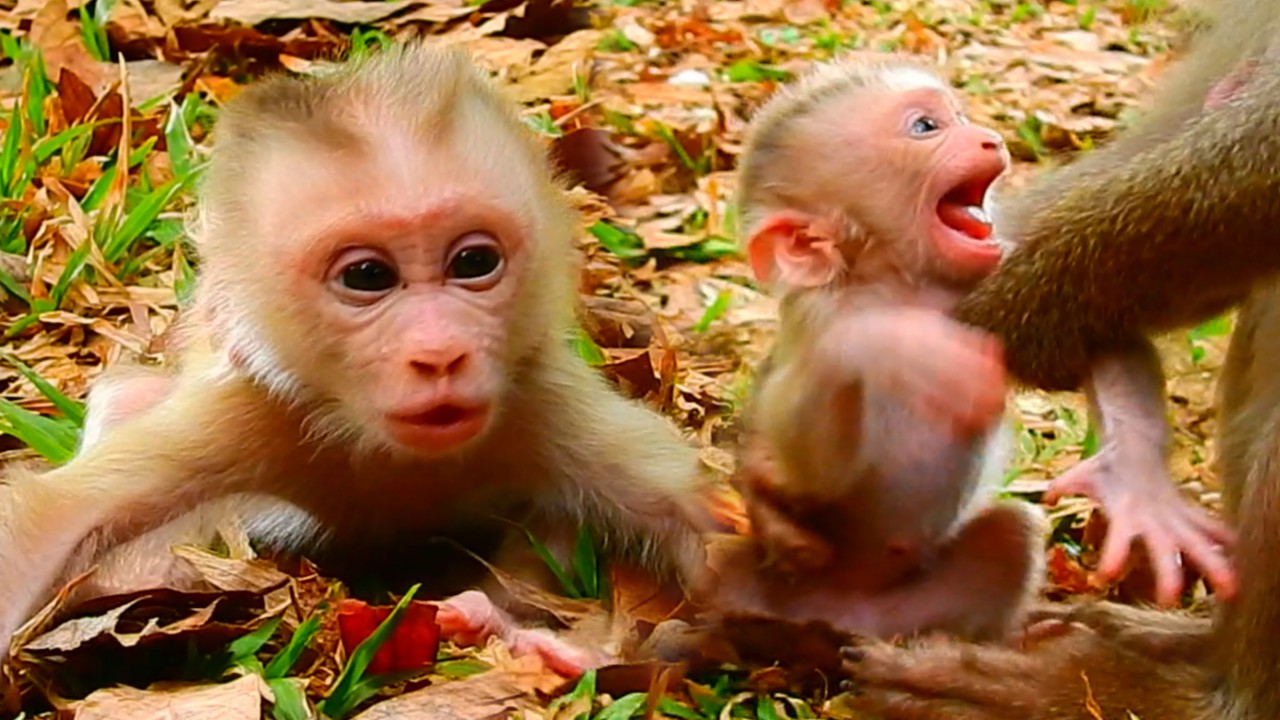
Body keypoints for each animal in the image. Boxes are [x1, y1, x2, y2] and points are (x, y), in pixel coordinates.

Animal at [0, 42, 714, 675]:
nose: (439, 353)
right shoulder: (255, 412)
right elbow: (52, 520)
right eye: (368, 276)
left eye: (473, 262)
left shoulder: (537, 400)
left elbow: (704, 516)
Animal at [708, 58, 1046, 643]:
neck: (898, 285)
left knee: (1012, 535)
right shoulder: (818, 317)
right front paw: (886, 345)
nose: (990, 138)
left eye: (957, 117)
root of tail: (848, 612)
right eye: (926, 127)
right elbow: (813, 469)